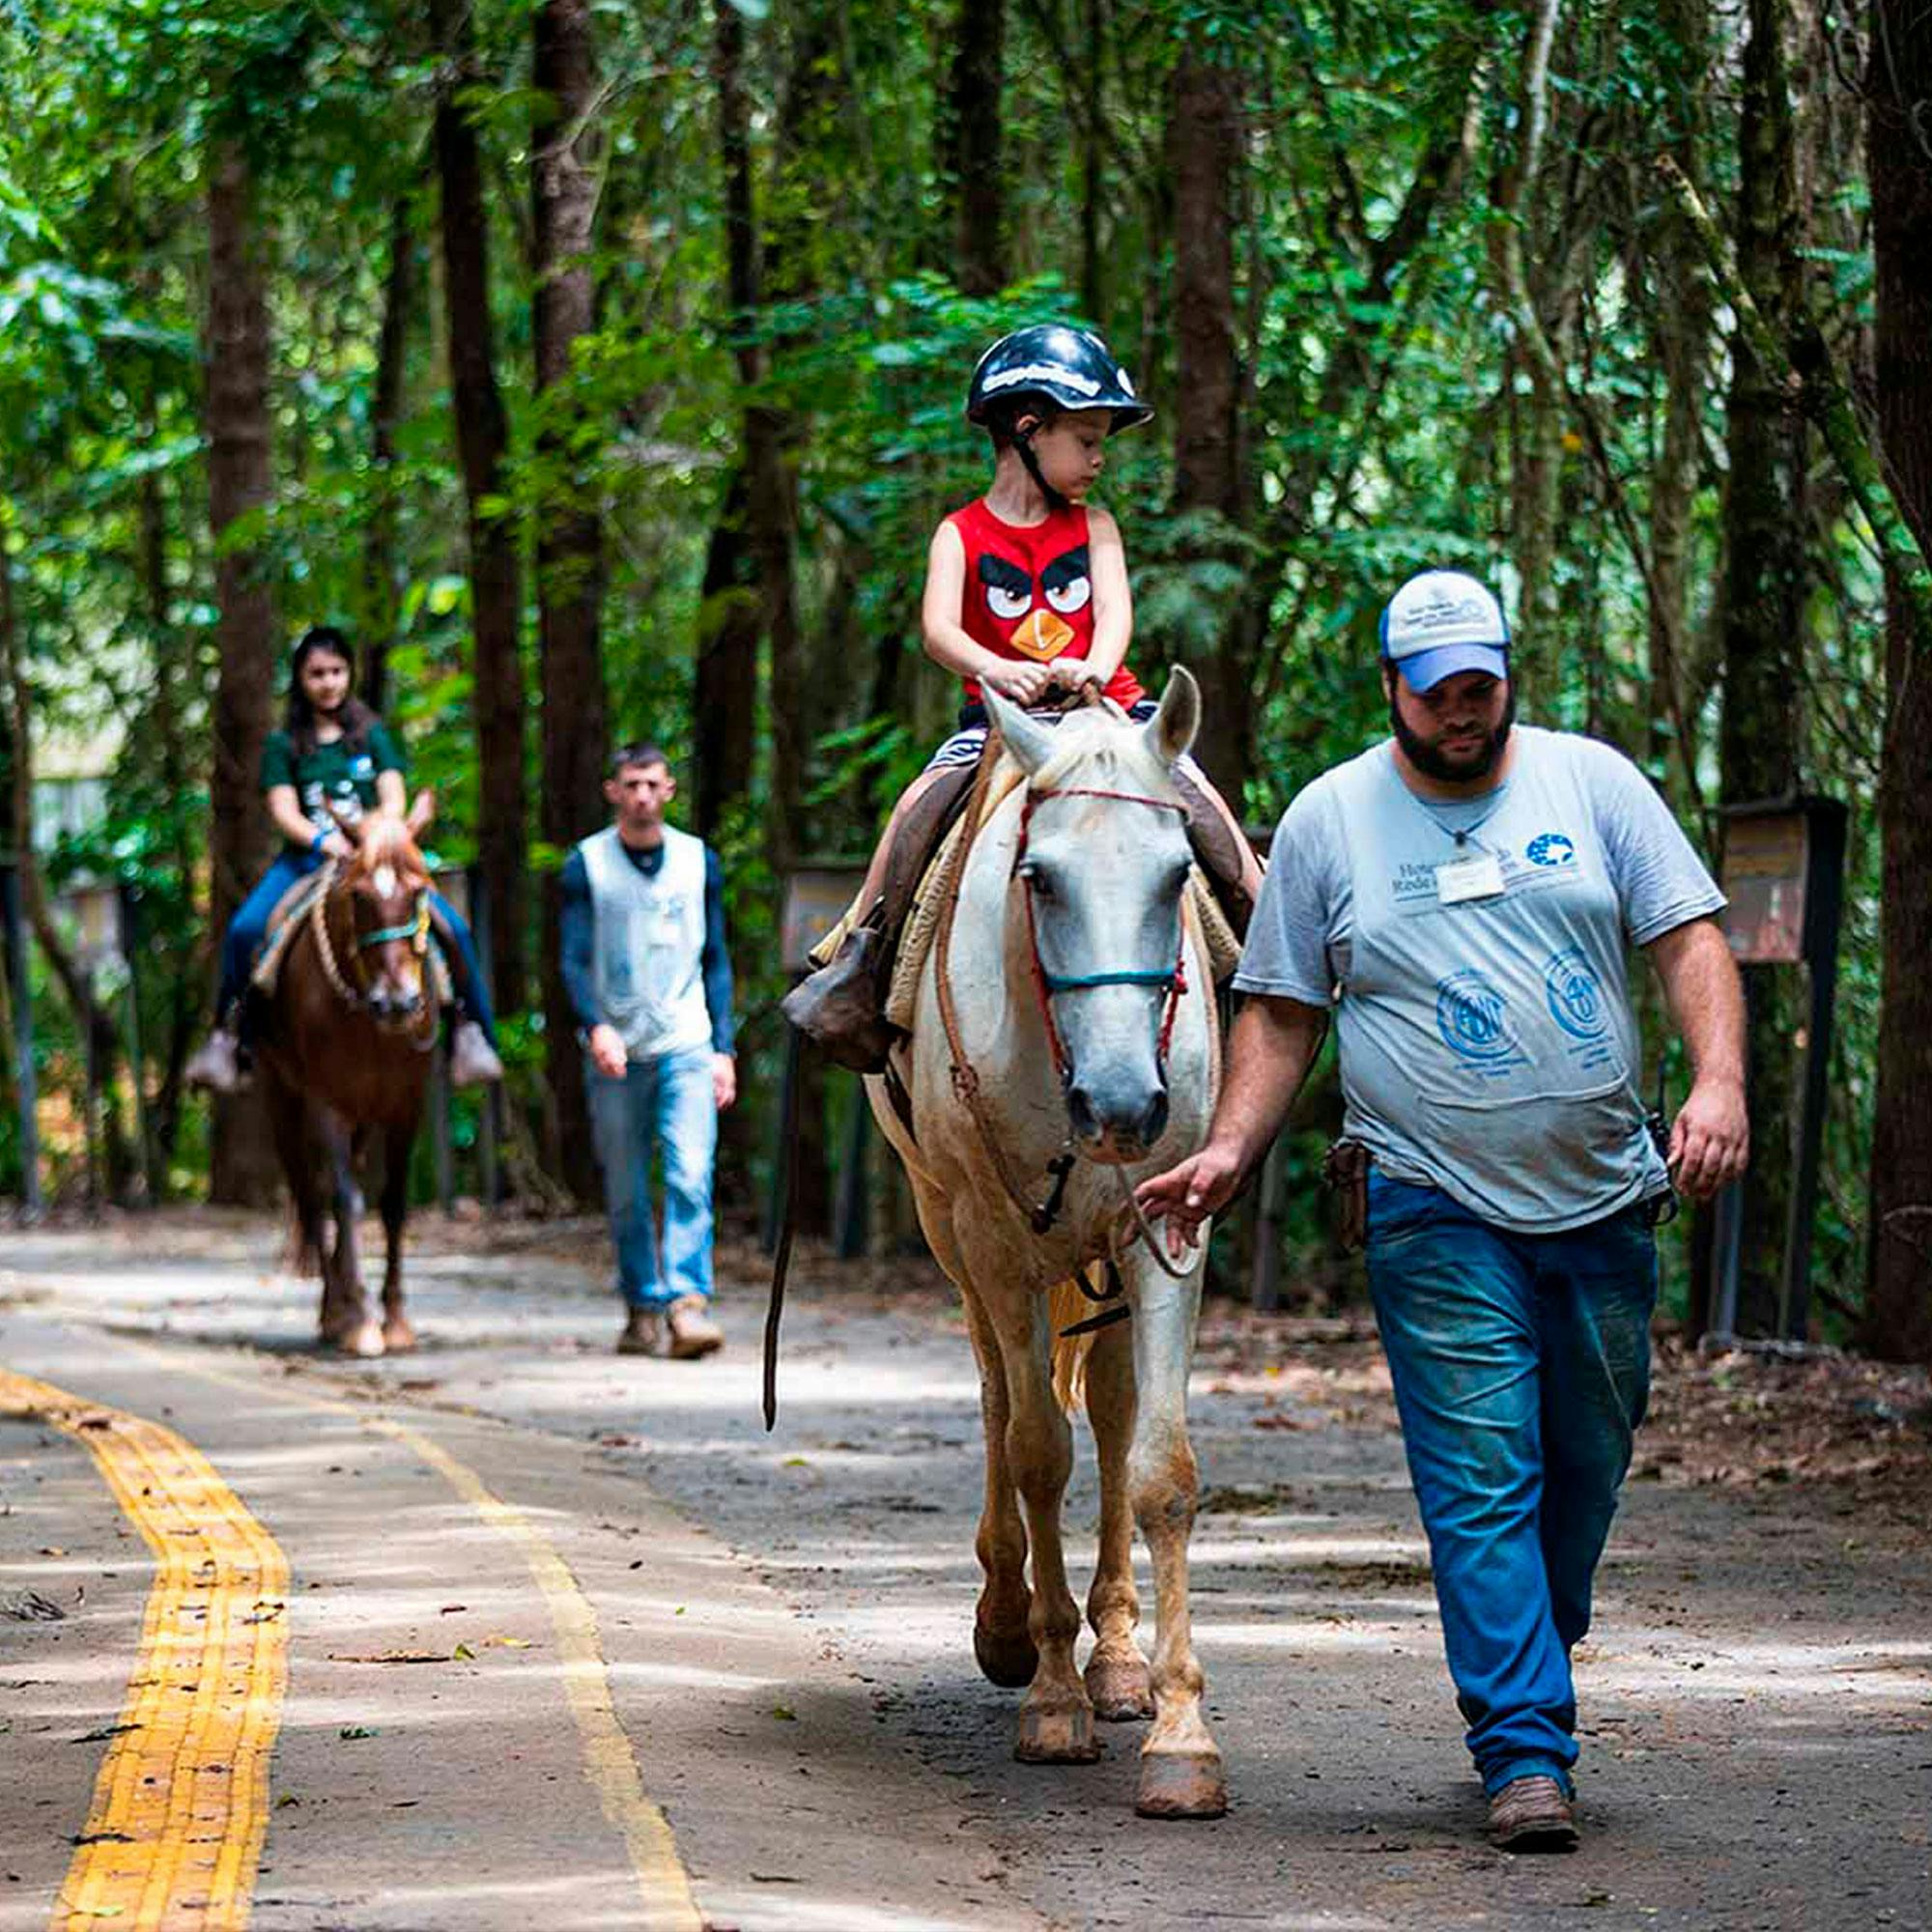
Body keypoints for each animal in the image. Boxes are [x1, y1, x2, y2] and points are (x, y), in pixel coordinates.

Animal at [255, 795, 441, 1359]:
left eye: (420, 890)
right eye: (358, 897)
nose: (398, 1003)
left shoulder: (407, 1104)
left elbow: (393, 1203)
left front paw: (396, 1320)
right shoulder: (326, 1103)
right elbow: (343, 1200)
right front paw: (357, 1320)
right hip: (283, 1099)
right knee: (313, 1195)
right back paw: (333, 1310)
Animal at [865, 670, 1227, 1820]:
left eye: (1175, 874)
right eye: (1041, 879)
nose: (1120, 1104)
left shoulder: (1167, 1225)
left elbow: (1160, 1466)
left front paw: (1176, 1733)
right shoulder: (992, 1237)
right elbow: (1033, 1448)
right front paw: (1052, 1699)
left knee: (1106, 1405)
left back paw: (1114, 1659)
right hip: (950, 1226)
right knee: (996, 1393)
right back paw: (1007, 1623)